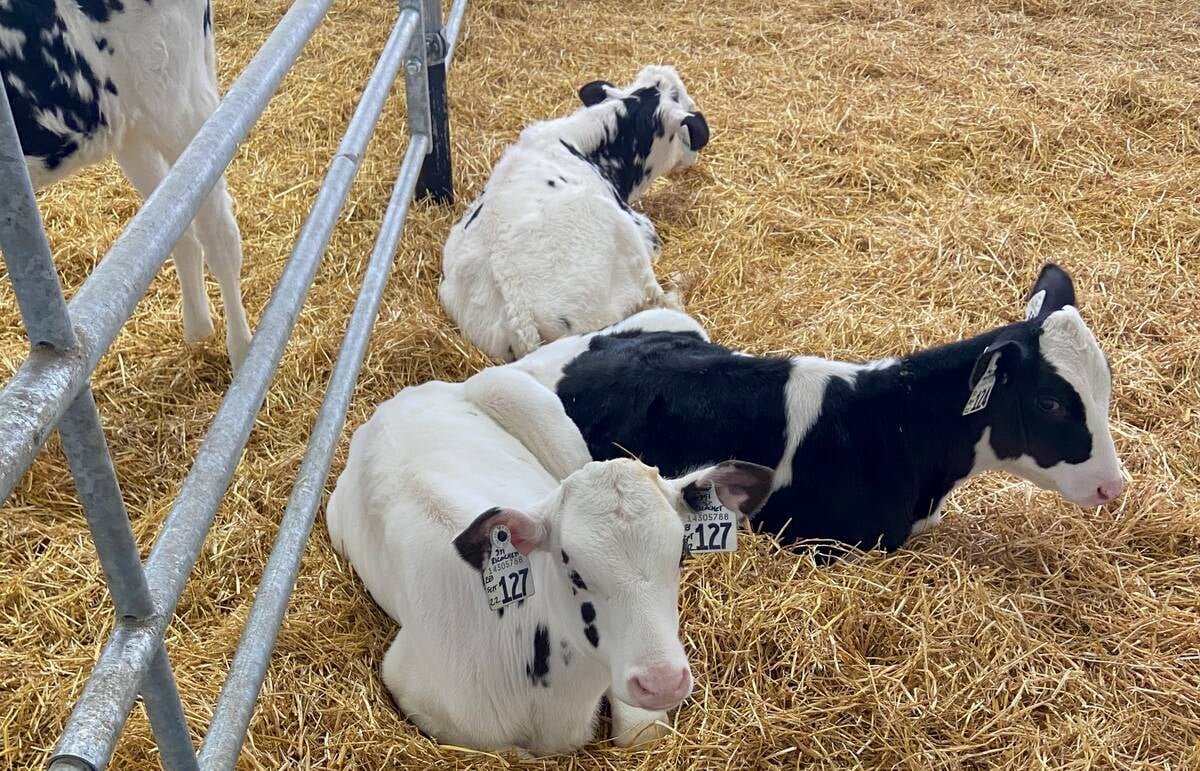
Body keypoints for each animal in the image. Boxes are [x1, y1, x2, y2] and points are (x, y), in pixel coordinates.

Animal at [1, 0, 252, 369]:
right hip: (130, 126)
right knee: (176, 222)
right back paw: (199, 331)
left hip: (180, 102)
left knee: (220, 232)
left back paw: (243, 351)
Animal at [326, 366, 773, 753]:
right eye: (571, 568)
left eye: (681, 553)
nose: (662, 682)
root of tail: (396, 402)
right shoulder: (410, 684)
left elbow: (643, 733)